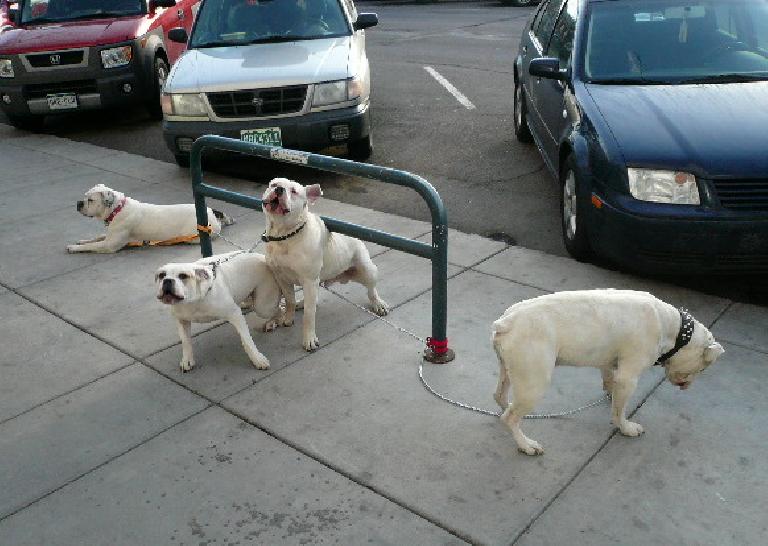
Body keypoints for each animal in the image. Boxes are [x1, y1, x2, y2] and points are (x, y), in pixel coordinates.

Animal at [67, 182, 232, 252]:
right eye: (85, 197)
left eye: (90, 200)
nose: (79, 203)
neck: (117, 209)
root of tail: (212, 212)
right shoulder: (109, 236)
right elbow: (97, 237)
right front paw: (83, 240)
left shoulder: (109, 245)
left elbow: (93, 246)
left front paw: (74, 247)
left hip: (194, 236)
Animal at [260, 176, 390, 350]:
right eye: (273, 184)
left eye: (294, 191)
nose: (279, 189)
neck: (284, 236)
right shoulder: (281, 277)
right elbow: (289, 299)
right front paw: (288, 317)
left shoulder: (309, 280)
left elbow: (309, 314)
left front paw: (309, 338)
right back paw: (302, 303)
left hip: (367, 269)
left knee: (371, 289)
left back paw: (378, 304)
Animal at [492, 288, 728, 454]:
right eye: (703, 368)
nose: (687, 386)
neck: (674, 327)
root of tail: (506, 322)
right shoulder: (628, 378)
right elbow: (619, 411)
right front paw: (625, 427)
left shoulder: (608, 364)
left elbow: (609, 381)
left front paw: (611, 392)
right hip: (535, 384)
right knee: (510, 418)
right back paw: (526, 444)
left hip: (509, 372)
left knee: (502, 398)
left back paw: (507, 408)